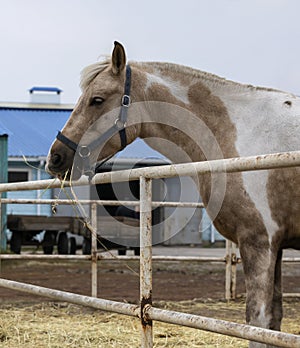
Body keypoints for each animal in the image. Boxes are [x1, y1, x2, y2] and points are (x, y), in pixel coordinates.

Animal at [45, 41, 298, 348]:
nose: (55, 158)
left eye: (97, 99)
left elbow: (258, 324)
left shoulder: (259, 243)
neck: (242, 133)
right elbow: (274, 321)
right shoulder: (276, 247)